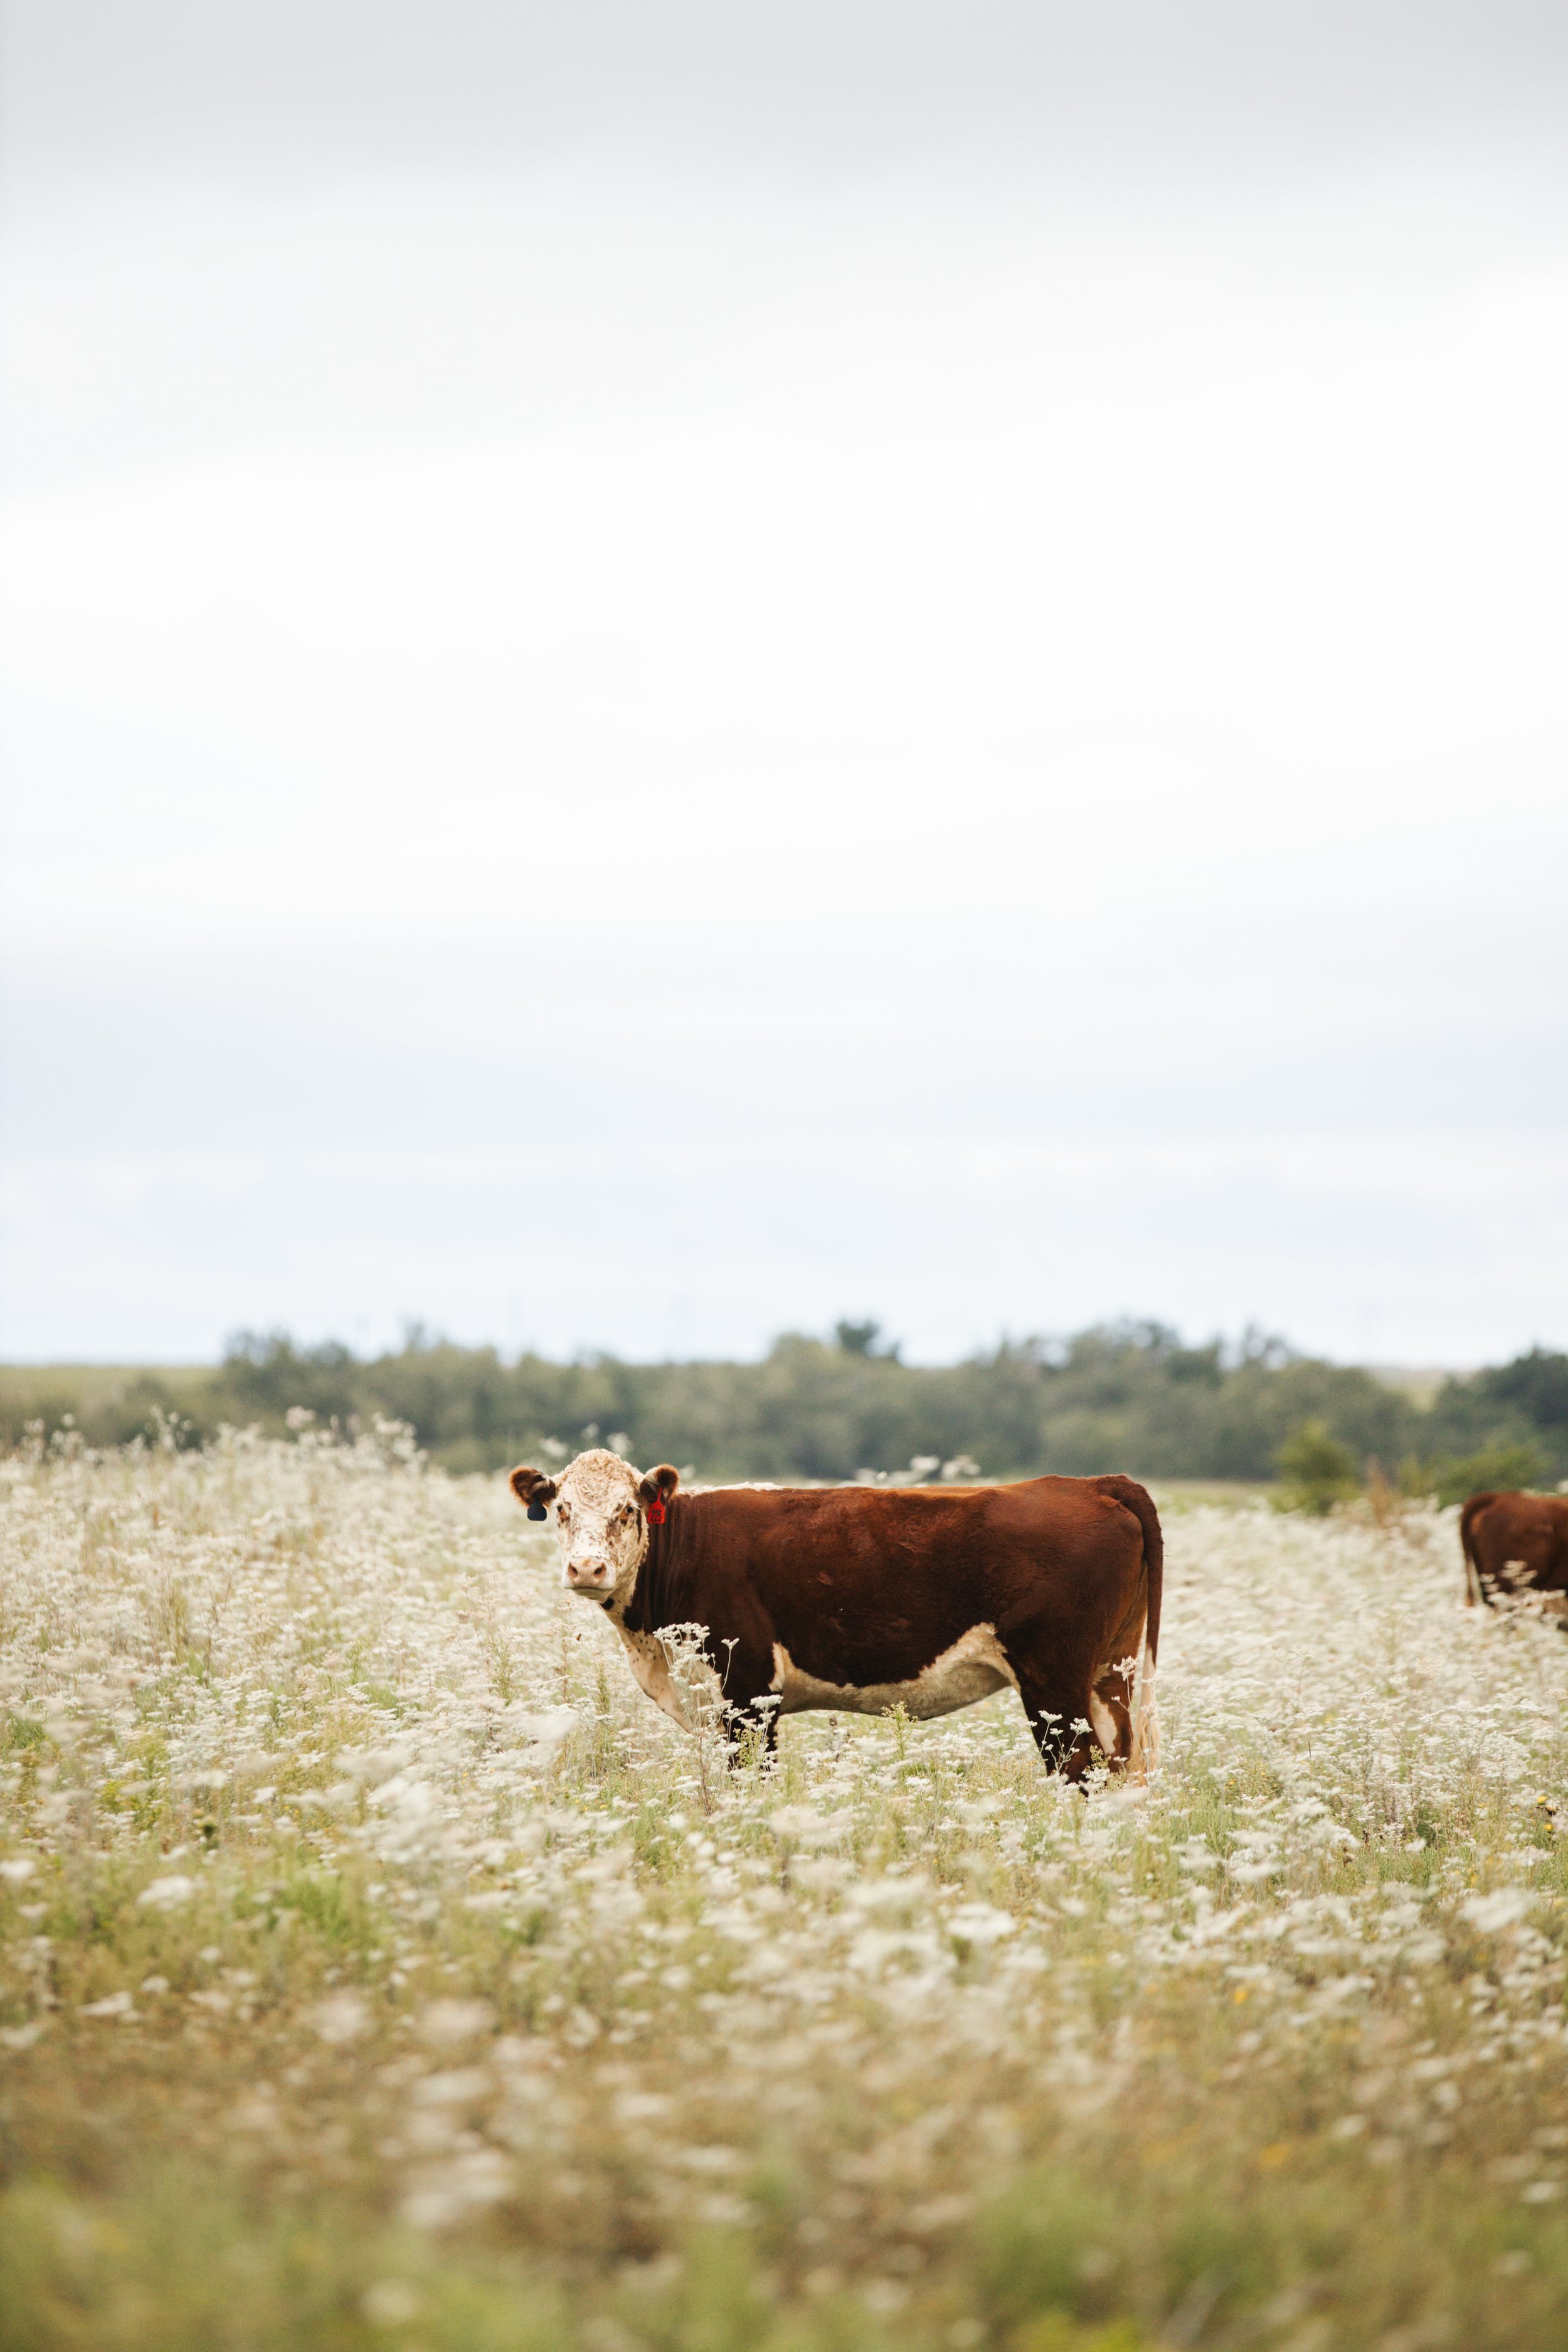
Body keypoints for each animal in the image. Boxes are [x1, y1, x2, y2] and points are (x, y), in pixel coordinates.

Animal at [509, 1449, 1162, 1780]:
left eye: (627, 1509)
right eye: (562, 1509)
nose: (587, 1569)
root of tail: (1090, 1483)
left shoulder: (749, 1694)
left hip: (1054, 1680)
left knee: (1080, 1769)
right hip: (1110, 1675)